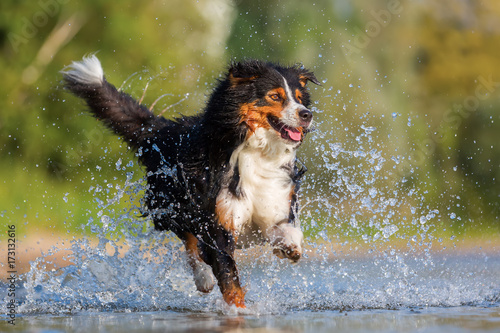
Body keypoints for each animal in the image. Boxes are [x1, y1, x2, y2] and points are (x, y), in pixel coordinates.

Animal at [62, 53, 318, 306]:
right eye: (274, 96)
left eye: (299, 99)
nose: (307, 114)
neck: (255, 151)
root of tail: (163, 130)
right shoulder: (216, 223)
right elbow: (229, 279)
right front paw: (238, 311)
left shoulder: (274, 202)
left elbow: (289, 230)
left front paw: (290, 247)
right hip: (173, 207)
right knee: (190, 244)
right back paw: (203, 278)